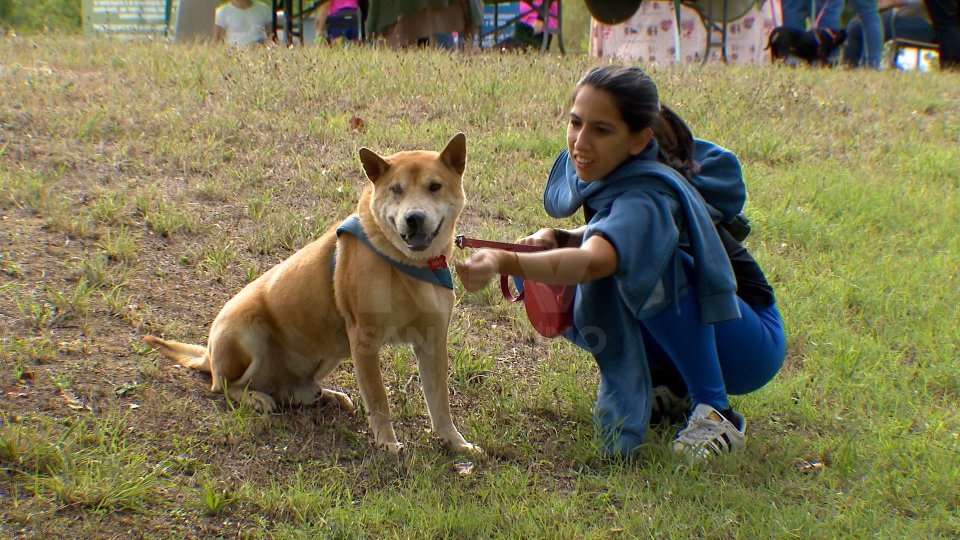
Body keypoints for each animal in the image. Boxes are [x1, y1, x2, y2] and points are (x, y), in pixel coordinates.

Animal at [143, 135, 480, 456]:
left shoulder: (432, 341)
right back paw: (255, 398)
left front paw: (454, 442)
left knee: (293, 392)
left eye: (434, 186)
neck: (408, 264)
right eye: (396, 189)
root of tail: (208, 356)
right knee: (224, 386)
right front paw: (387, 443)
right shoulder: (365, 339)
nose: (414, 218)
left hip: (329, 353)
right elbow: (379, 400)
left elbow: (439, 403)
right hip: (247, 332)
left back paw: (324, 395)